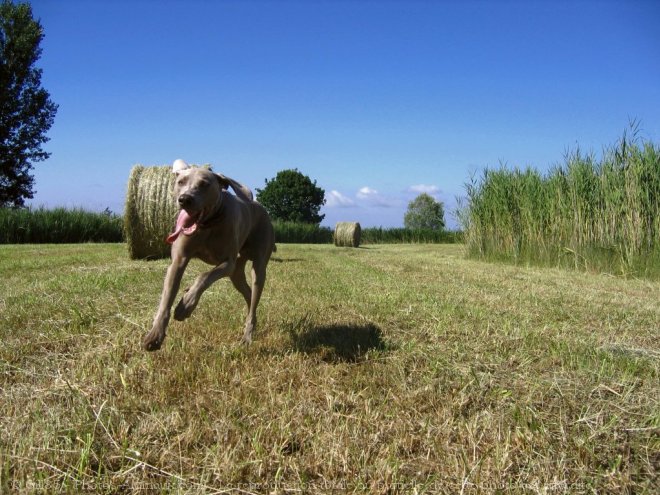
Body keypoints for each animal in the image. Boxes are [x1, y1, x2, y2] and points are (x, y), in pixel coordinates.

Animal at [143, 160, 274, 352]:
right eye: (180, 182)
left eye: (205, 184)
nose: (185, 199)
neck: (207, 225)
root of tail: (259, 205)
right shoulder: (178, 261)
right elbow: (166, 299)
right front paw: (155, 335)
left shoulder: (227, 263)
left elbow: (204, 276)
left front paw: (185, 305)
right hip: (237, 273)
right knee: (249, 294)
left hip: (258, 263)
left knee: (255, 288)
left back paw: (247, 336)